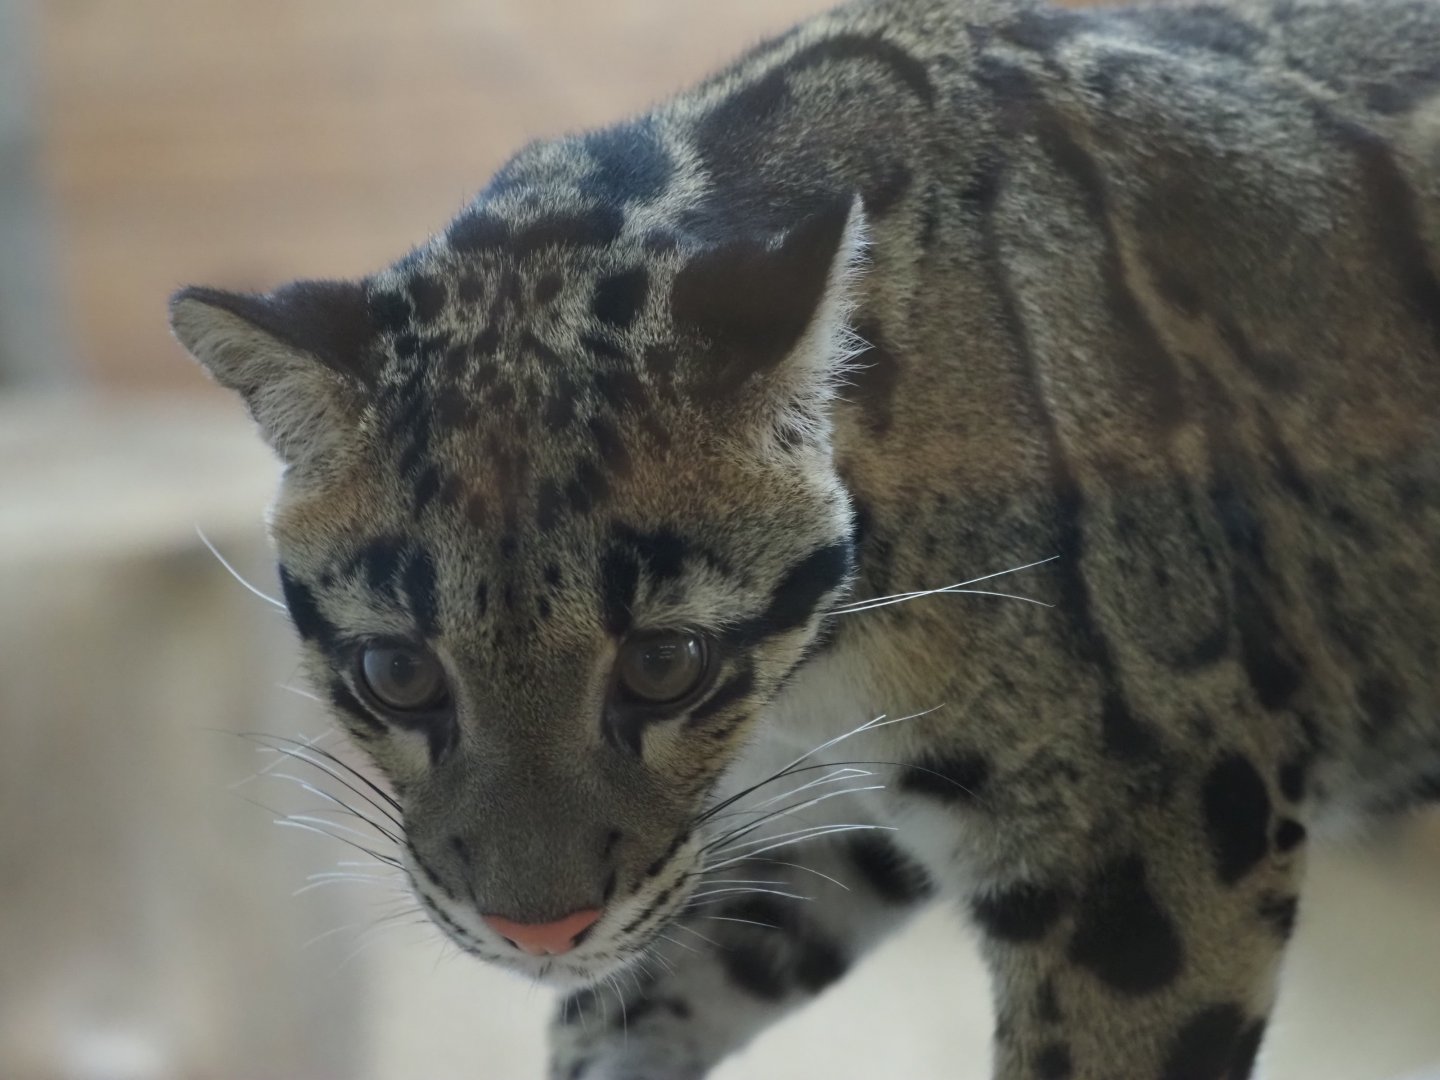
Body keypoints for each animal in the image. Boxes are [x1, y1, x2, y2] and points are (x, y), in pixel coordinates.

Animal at [169, 0, 1440, 1075]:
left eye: (665, 663)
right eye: (394, 672)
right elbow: (650, 987)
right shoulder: (798, 815)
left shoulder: (1154, 844)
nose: (540, 929)